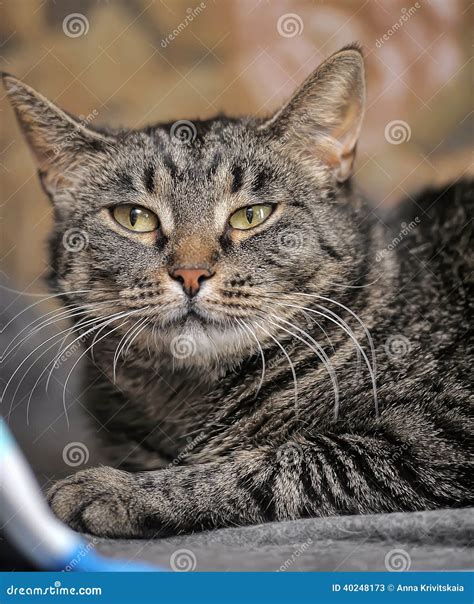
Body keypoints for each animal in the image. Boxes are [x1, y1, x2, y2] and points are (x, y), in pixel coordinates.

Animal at [1, 44, 472, 540]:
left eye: (252, 215)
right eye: (134, 218)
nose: (191, 273)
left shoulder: (435, 434)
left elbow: (285, 462)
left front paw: (116, 489)